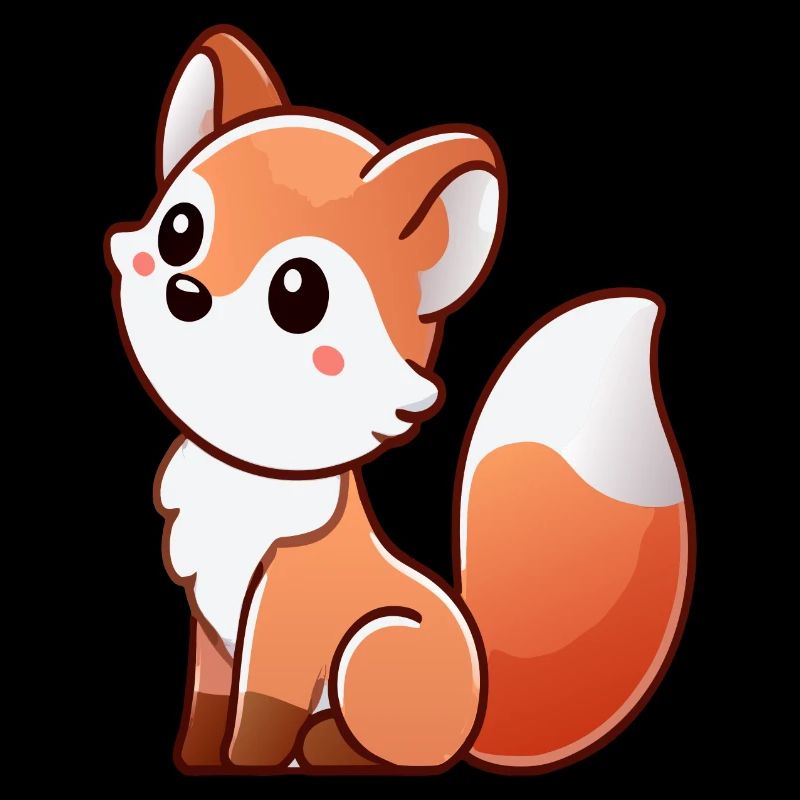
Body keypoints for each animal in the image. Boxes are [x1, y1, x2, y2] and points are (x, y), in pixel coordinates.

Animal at [105, 26, 693, 775]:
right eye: (181, 230)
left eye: (299, 293)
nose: (188, 291)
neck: (251, 481)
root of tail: (478, 709)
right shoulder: (210, 623)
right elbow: (212, 704)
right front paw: (203, 761)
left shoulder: (285, 619)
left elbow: (258, 714)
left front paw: (249, 762)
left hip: (376, 642)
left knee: (390, 746)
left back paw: (326, 748)